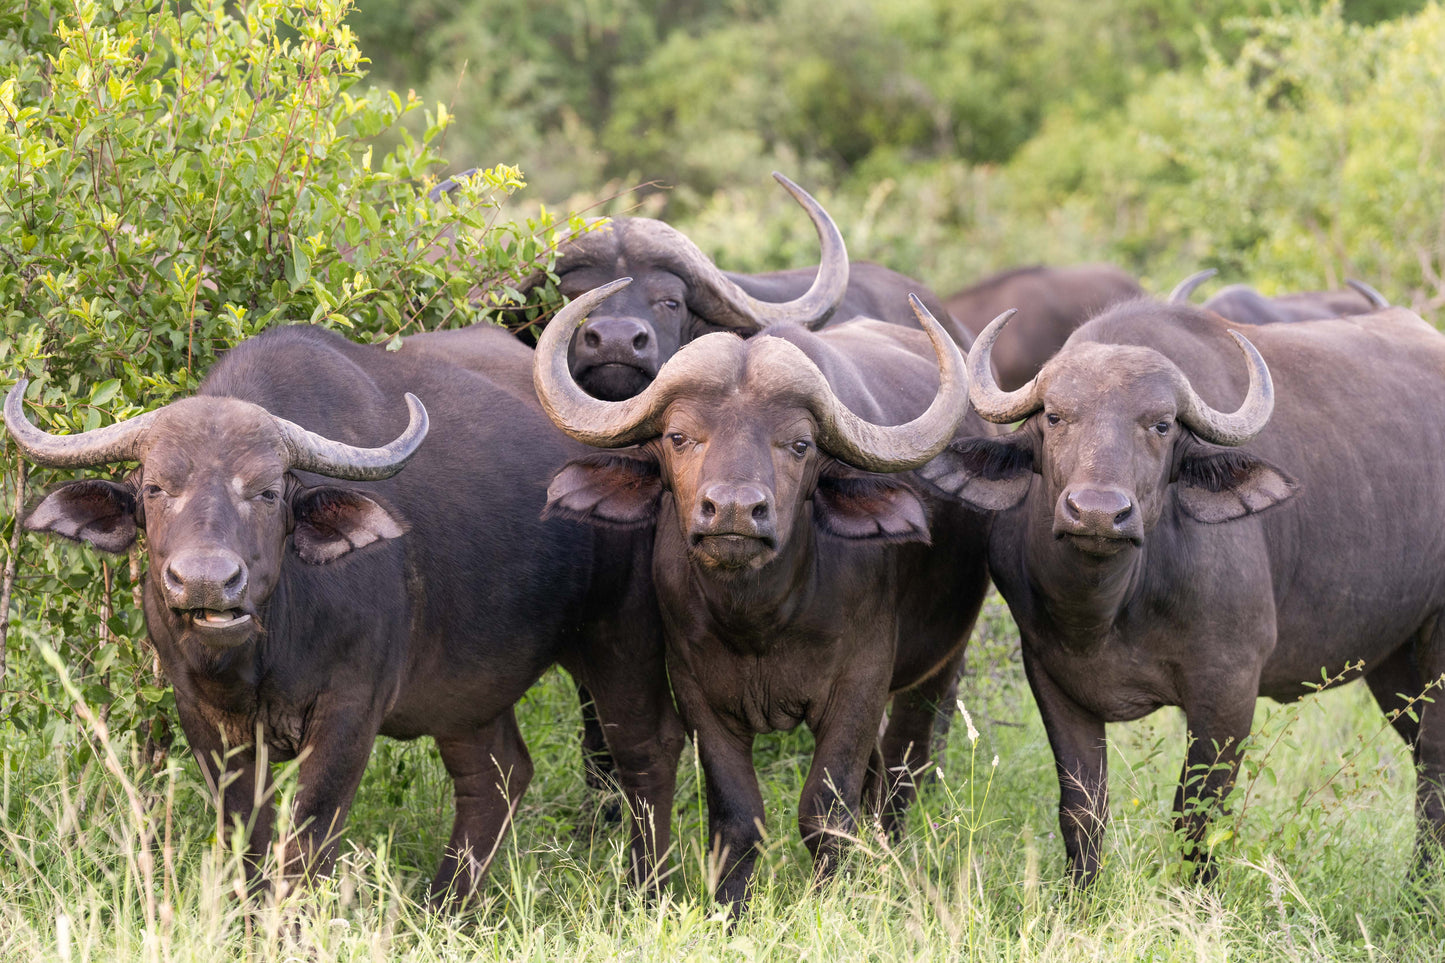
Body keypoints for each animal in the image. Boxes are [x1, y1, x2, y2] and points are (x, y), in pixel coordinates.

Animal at [5, 324, 682, 903]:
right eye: (153, 488)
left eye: (267, 491)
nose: (206, 582)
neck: (266, 648)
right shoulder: (202, 716)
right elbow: (247, 839)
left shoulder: (350, 711)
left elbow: (306, 840)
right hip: (470, 684)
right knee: (497, 775)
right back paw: (445, 907)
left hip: (621, 638)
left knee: (647, 753)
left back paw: (643, 894)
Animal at [533, 278, 991, 912]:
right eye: (679, 436)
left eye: (797, 444)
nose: (732, 510)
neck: (762, 619)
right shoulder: (698, 691)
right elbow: (738, 815)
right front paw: (729, 907)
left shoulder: (861, 683)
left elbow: (826, 812)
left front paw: (832, 902)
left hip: (941, 666)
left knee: (907, 765)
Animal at [919, 298, 1445, 885]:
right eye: (1054, 417)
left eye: (1161, 424)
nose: (1098, 513)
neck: (1107, 609)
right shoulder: (1052, 680)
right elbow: (1081, 809)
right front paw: (1079, 896)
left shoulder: (1229, 687)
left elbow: (1197, 814)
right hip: (1394, 663)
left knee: (1435, 765)